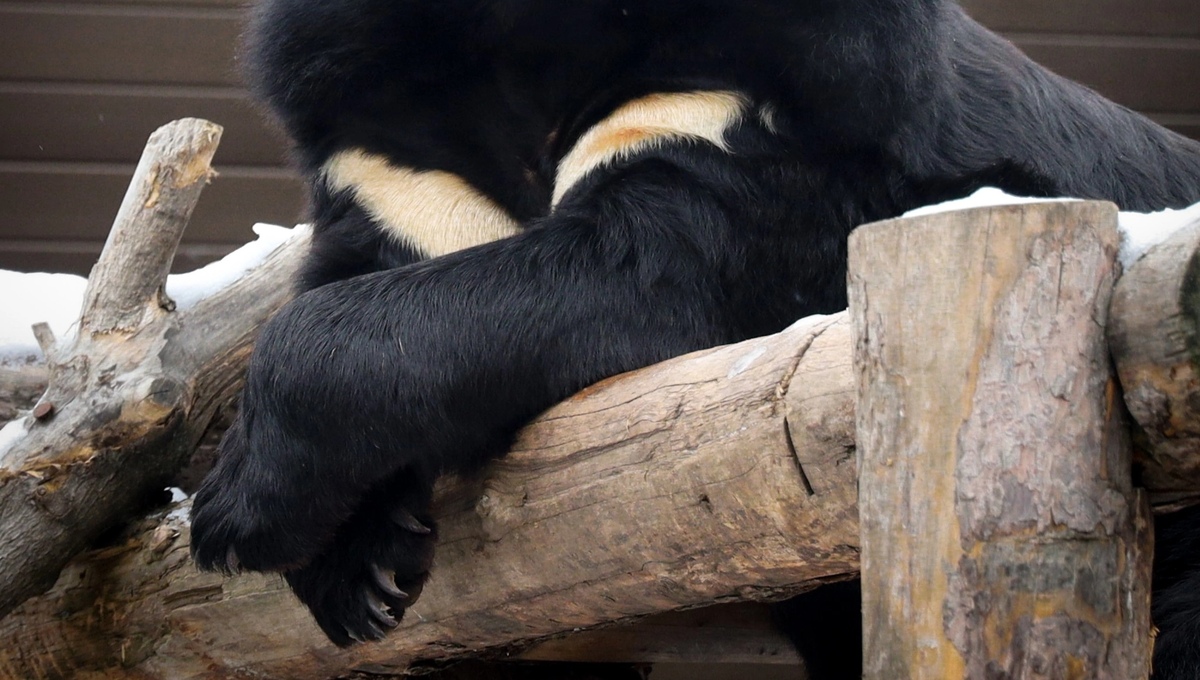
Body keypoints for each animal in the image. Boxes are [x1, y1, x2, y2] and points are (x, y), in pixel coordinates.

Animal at [187, 0, 1200, 676]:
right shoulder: (389, 145)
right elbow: (360, 271)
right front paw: (360, 572)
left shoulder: (761, 94)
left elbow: (638, 275)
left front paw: (234, 513)